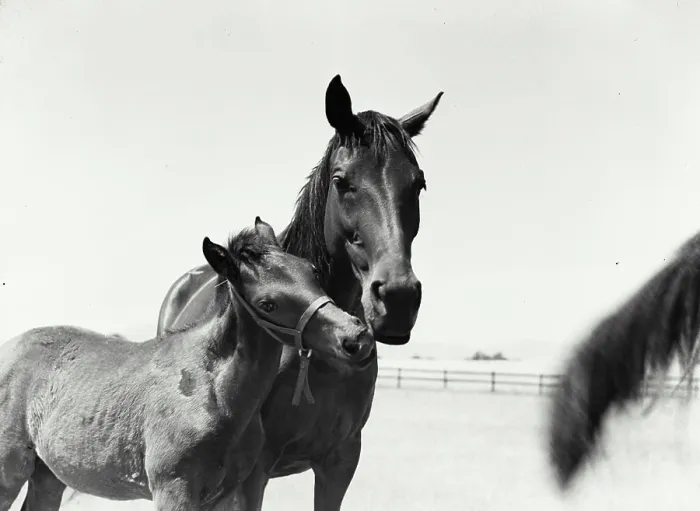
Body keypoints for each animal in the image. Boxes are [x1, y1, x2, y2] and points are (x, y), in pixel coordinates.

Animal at [0, 217, 375, 511]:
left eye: (312, 272)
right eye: (267, 304)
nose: (356, 338)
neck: (213, 391)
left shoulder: (225, 494)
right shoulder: (173, 491)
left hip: (48, 474)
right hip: (9, 472)